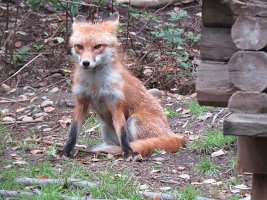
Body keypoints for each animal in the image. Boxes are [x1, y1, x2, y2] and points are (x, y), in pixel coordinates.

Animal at [64, 12, 186, 160]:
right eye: (79, 46)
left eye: (97, 46)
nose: (85, 63)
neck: (95, 84)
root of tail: (172, 133)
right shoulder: (82, 101)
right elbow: (73, 131)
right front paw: (66, 151)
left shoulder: (115, 104)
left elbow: (123, 134)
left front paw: (127, 152)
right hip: (105, 127)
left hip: (134, 121)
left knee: (142, 143)